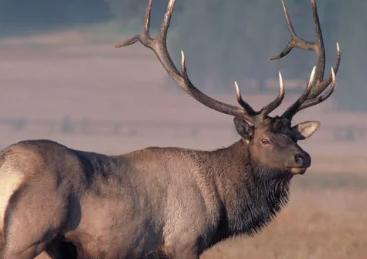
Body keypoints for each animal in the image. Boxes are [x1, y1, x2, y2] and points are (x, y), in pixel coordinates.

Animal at [0, 0, 340, 258]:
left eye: (294, 135)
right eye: (266, 140)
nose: (303, 158)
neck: (222, 199)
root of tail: (9, 166)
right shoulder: (185, 241)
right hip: (27, 233)